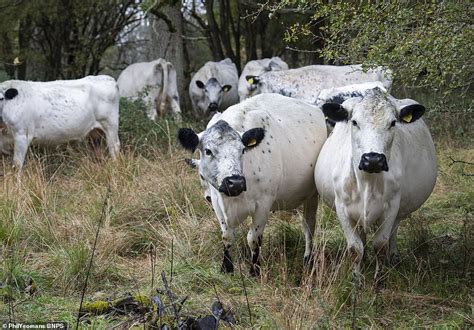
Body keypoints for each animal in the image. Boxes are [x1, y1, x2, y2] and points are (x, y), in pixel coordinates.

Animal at [176, 93, 328, 276]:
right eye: (208, 151)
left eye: (242, 150)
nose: (235, 183)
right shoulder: (217, 202)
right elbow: (227, 235)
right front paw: (226, 267)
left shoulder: (263, 203)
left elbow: (253, 238)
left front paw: (255, 270)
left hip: (312, 195)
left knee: (308, 227)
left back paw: (307, 260)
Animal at [314, 88, 436, 288]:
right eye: (355, 122)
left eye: (393, 123)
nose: (372, 159)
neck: (367, 182)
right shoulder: (342, 208)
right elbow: (355, 248)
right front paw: (356, 280)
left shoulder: (392, 207)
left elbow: (380, 245)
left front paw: (380, 280)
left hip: (400, 210)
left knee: (393, 233)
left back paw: (393, 258)